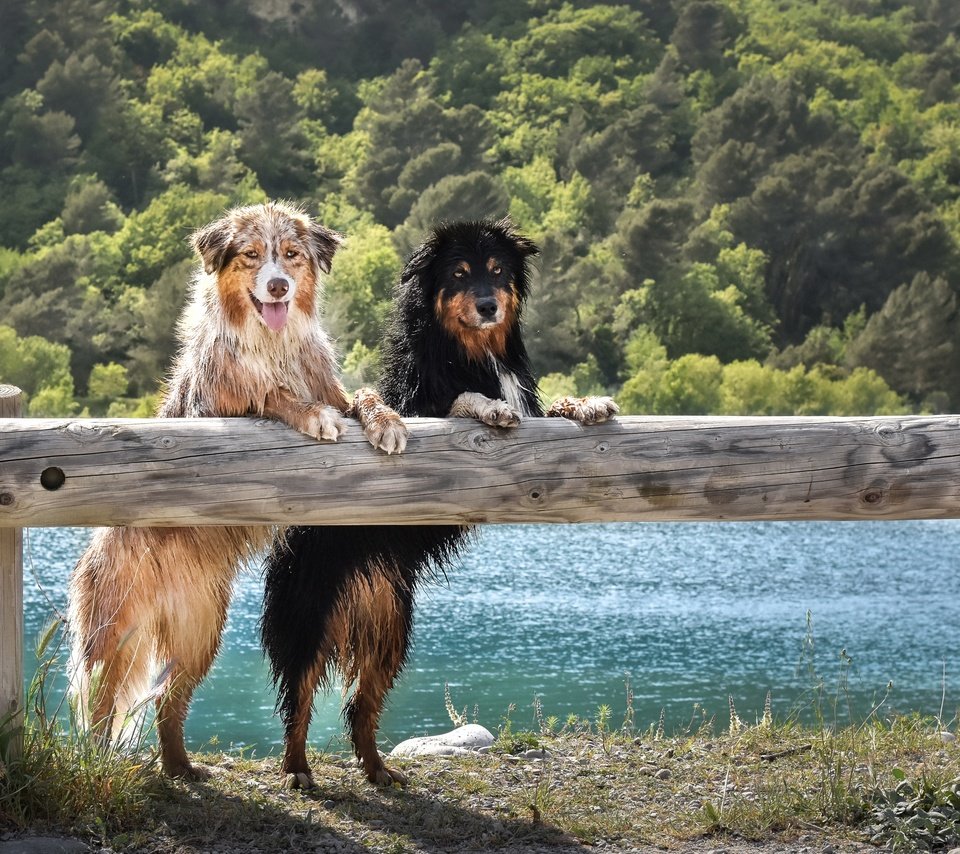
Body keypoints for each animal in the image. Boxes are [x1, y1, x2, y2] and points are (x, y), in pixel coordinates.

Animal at [264, 219, 616, 788]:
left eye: (496, 271)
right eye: (459, 274)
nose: (489, 306)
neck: (472, 351)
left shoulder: (533, 411)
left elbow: (553, 409)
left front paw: (588, 403)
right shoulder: (419, 406)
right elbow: (458, 401)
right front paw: (488, 406)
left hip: (390, 631)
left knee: (360, 708)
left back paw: (379, 770)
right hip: (309, 618)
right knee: (298, 701)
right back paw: (297, 771)